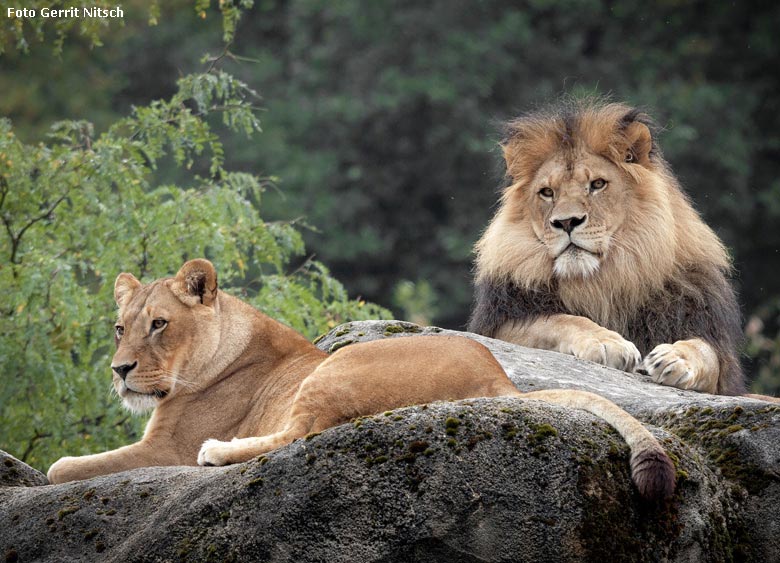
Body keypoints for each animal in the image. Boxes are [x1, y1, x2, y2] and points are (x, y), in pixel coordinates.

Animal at [45, 260, 672, 498]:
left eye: (159, 324)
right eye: (119, 328)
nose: (119, 370)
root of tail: (499, 379)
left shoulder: (165, 448)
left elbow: (63, 468)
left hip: (335, 366)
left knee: (299, 434)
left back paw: (218, 452)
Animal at [470, 98, 744, 396]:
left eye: (597, 184)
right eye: (547, 192)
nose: (566, 222)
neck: (603, 281)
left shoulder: (707, 337)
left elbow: (705, 351)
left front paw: (675, 358)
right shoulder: (501, 325)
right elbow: (560, 319)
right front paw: (607, 342)